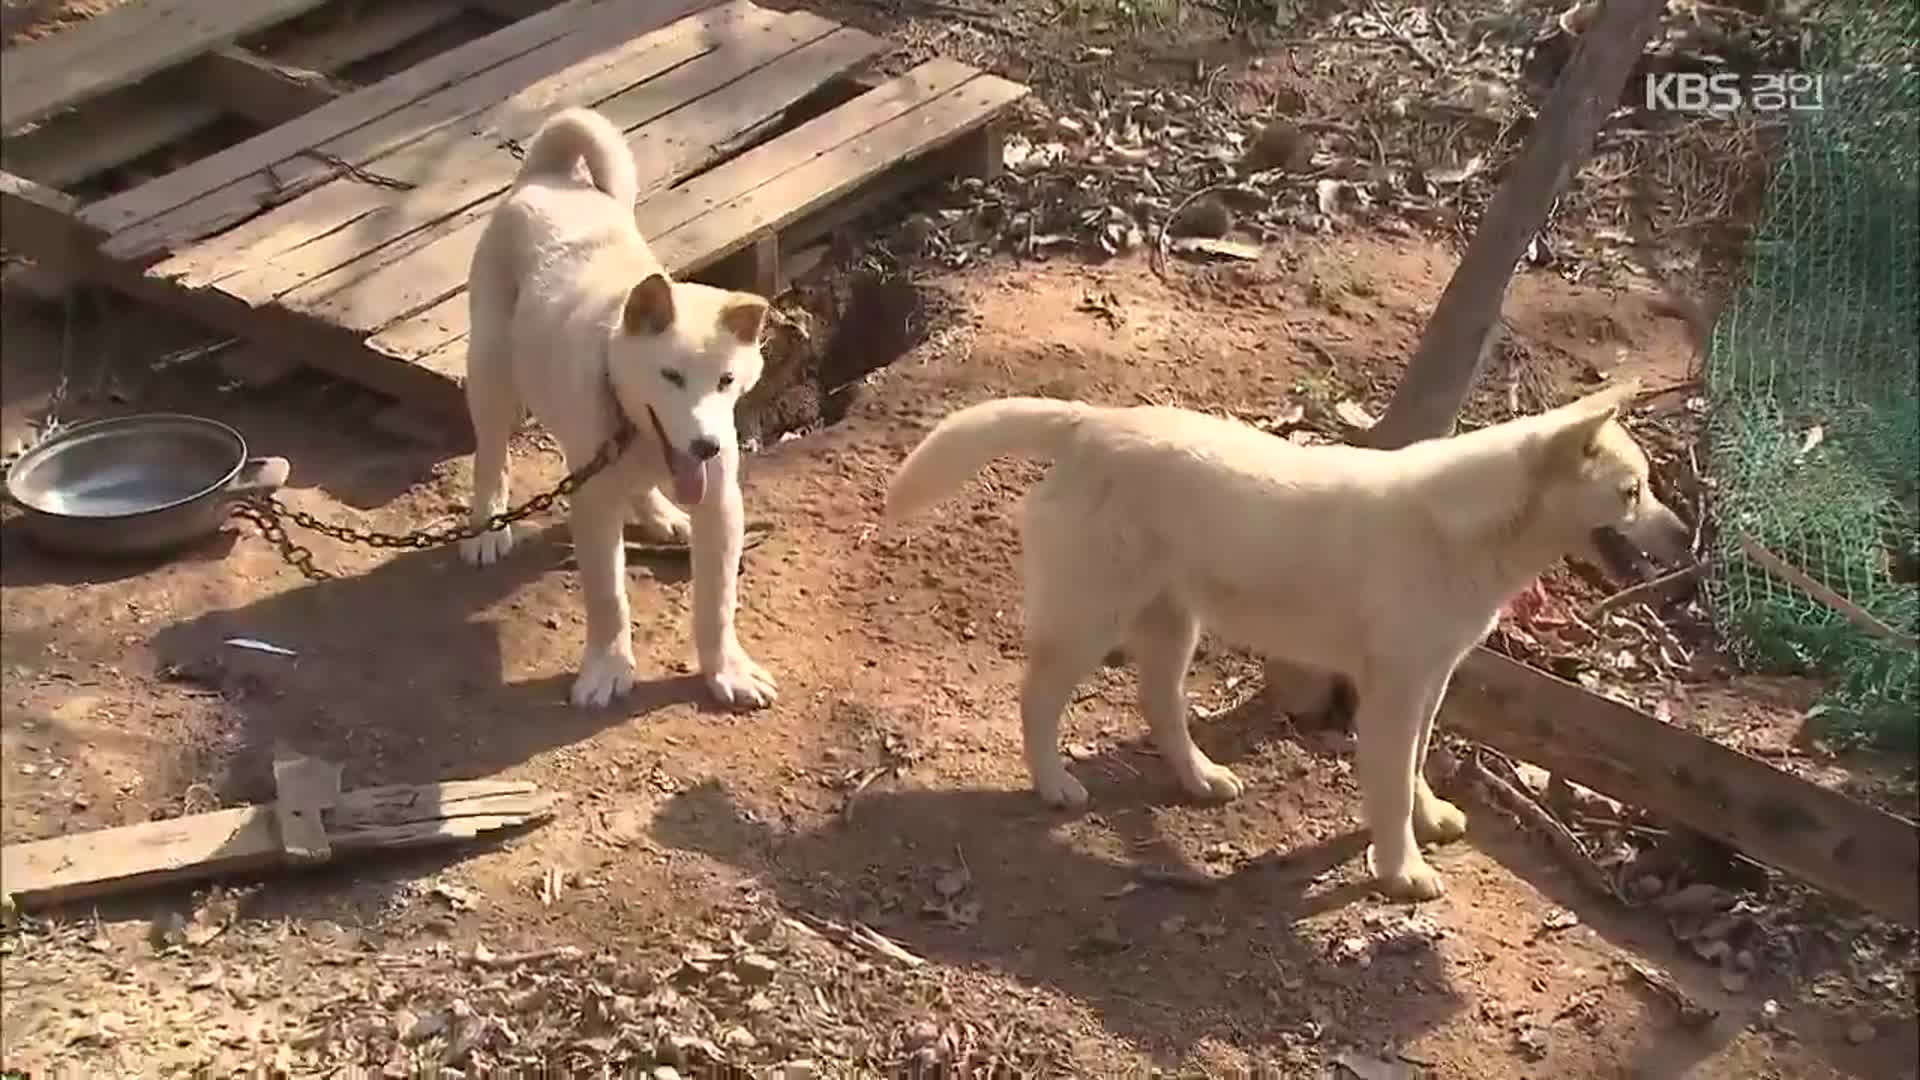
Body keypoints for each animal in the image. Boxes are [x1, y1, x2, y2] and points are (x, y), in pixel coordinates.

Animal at [458, 107, 779, 707]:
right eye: (671, 376)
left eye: (727, 380)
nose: (706, 445)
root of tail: (550, 176)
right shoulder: (592, 504)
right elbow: (608, 598)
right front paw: (608, 669)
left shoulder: (720, 503)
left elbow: (716, 603)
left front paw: (728, 670)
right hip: (491, 373)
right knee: (491, 456)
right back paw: (487, 527)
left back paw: (663, 517)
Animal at [879, 382, 1681, 895]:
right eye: (1632, 493)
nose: (1688, 538)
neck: (1467, 529)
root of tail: (1091, 422)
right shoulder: (1394, 693)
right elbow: (1390, 787)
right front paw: (1401, 871)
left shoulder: (1428, 682)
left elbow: (1414, 768)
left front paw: (1426, 825)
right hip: (1088, 622)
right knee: (1037, 701)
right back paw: (1053, 785)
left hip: (1172, 624)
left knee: (1158, 705)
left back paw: (1199, 779)